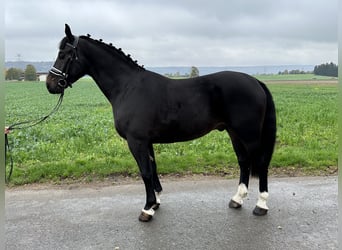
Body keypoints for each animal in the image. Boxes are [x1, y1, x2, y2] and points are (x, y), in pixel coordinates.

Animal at [46, 24, 276, 222]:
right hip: (234, 133)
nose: (50, 84)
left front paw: (147, 209)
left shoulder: (137, 141)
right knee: (244, 161)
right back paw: (237, 199)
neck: (128, 87)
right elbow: (153, 169)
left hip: (249, 135)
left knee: (261, 163)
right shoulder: (146, 142)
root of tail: (256, 81)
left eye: (63, 54)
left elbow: (145, 172)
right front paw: (155, 203)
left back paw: (261, 205)